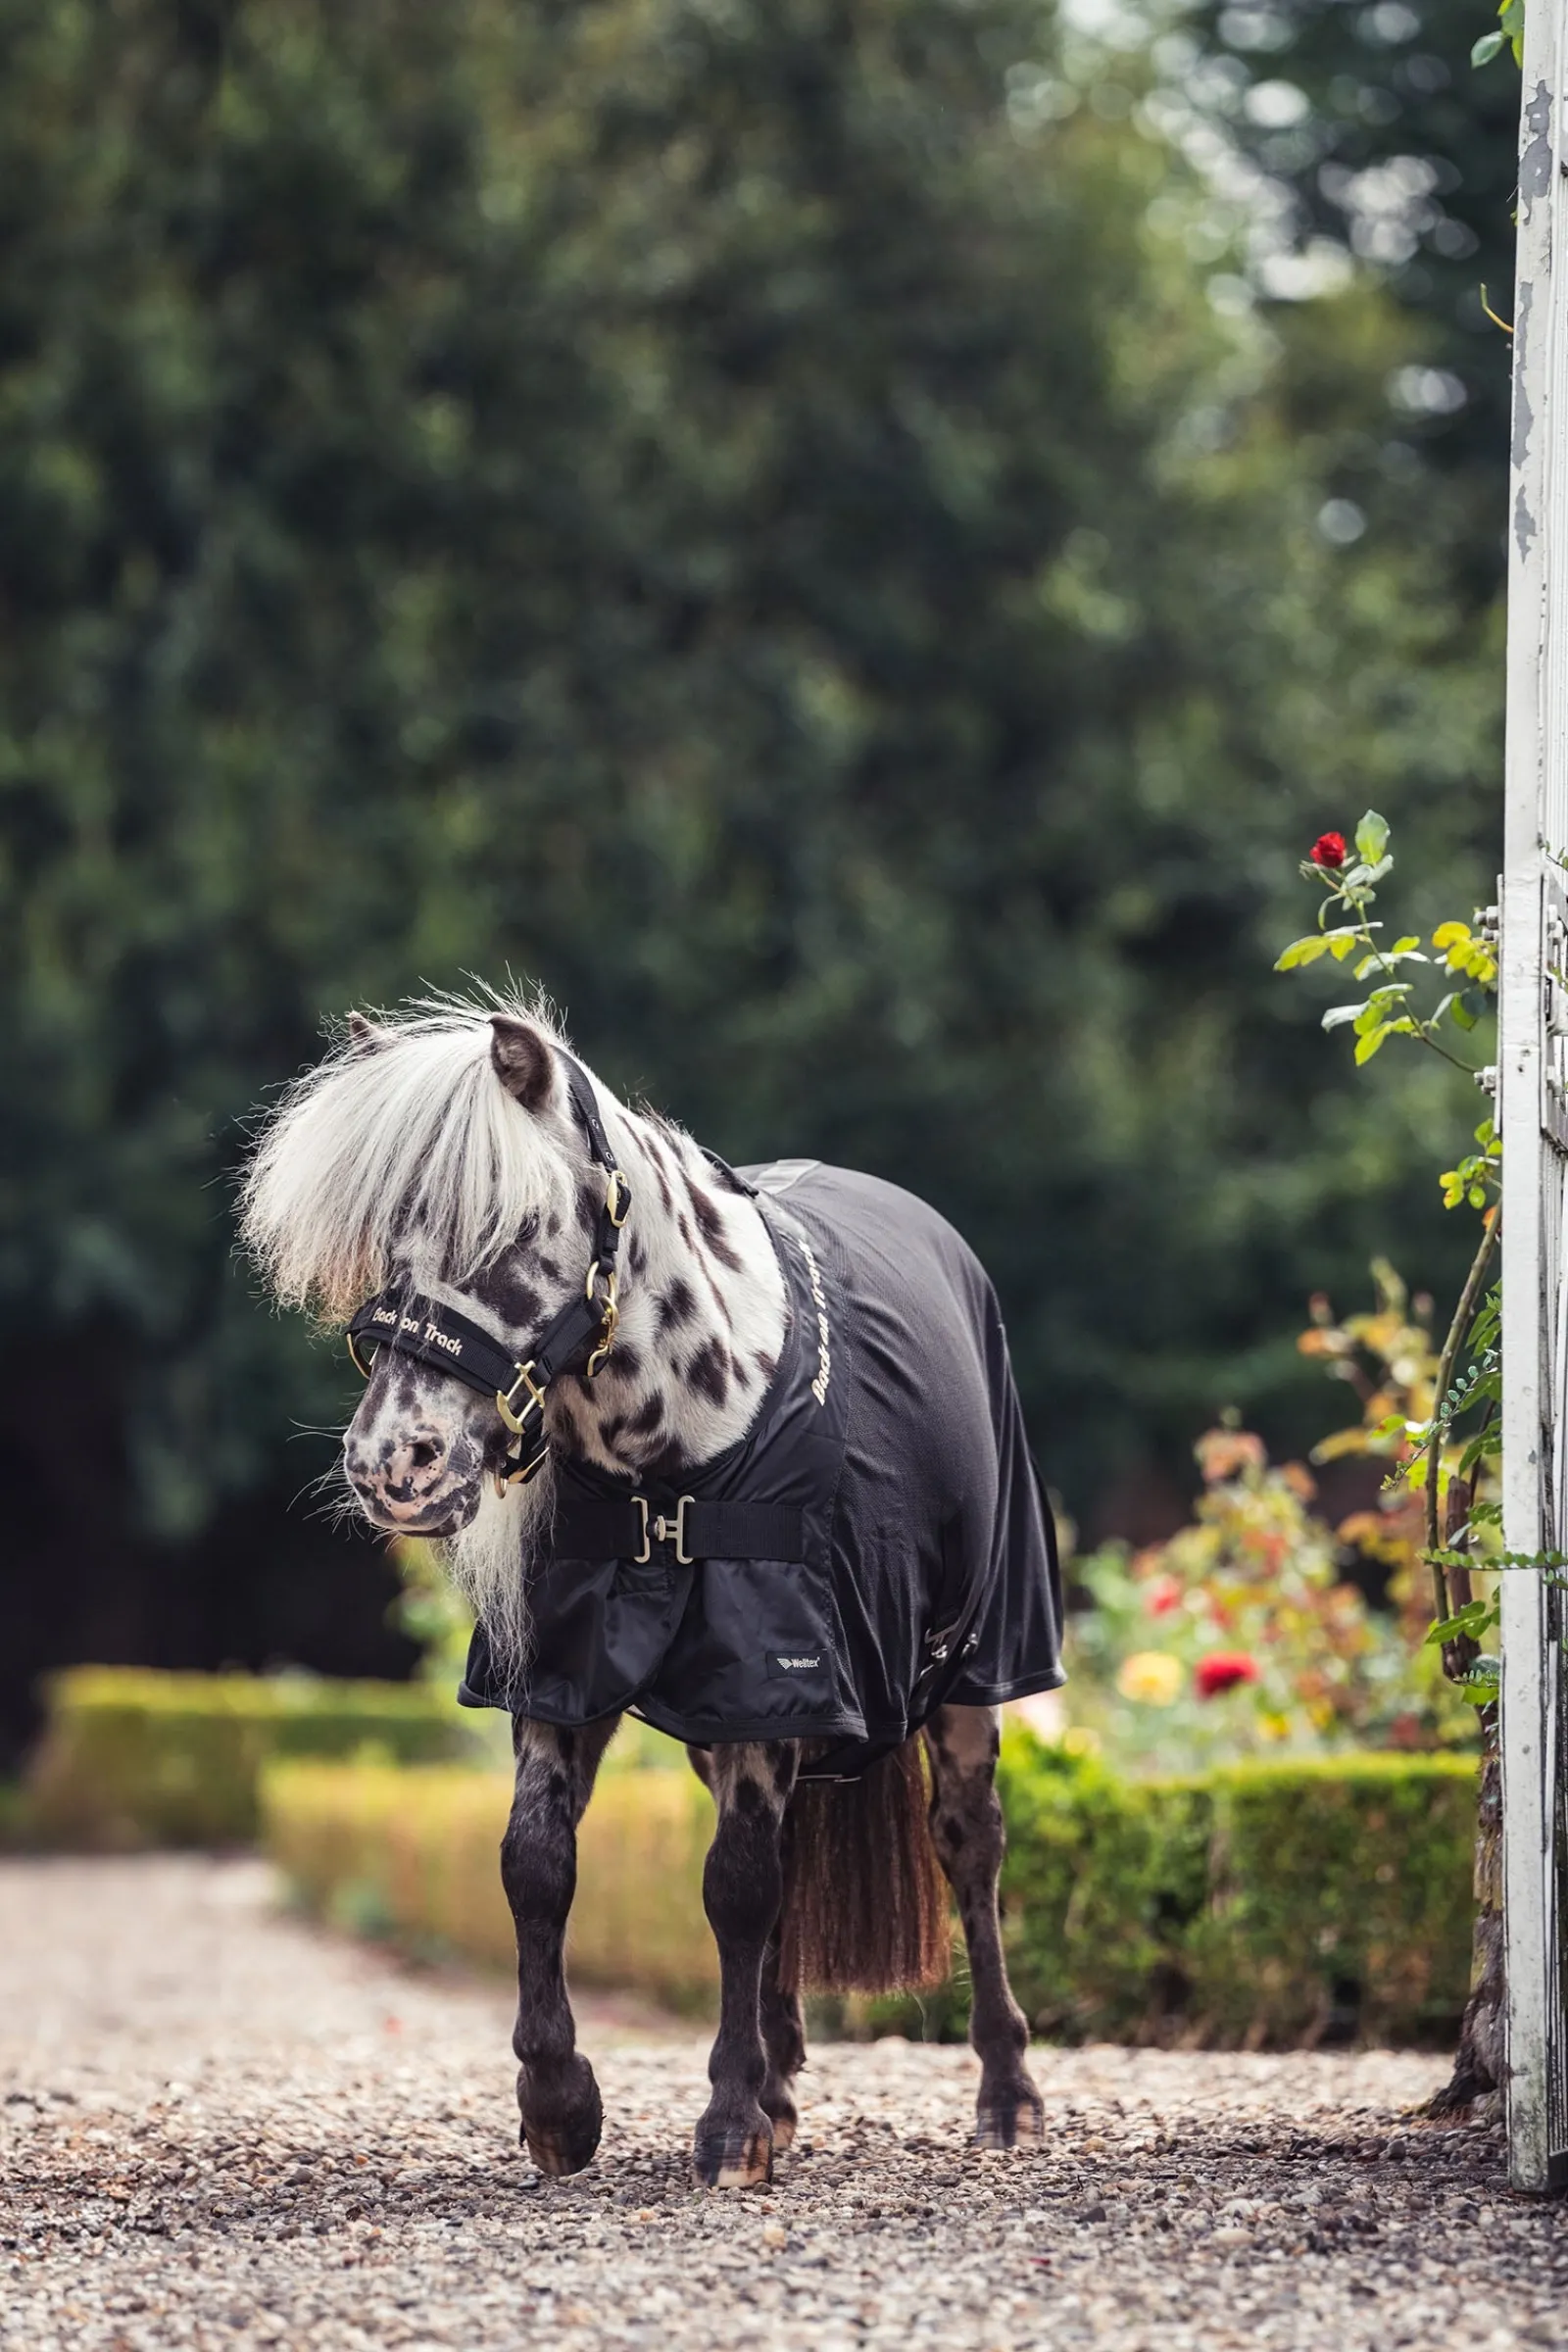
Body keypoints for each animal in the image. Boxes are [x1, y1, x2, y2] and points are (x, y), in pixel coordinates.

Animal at [241, 991, 1064, 2188]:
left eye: (516, 1230)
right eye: (389, 1241)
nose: (395, 1464)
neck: (671, 1454)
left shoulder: (769, 1672)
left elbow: (735, 1885)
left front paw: (725, 2127)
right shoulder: (569, 1676)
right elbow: (539, 1866)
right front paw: (561, 2105)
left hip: (970, 1671)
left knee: (969, 1844)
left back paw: (1005, 2096)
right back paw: (782, 2086)